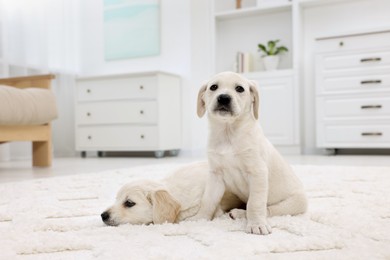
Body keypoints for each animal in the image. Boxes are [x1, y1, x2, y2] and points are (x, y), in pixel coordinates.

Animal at [190, 71, 310, 236]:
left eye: (240, 89)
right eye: (213, 87)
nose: (224, 97)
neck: (228, 133)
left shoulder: (258, 172)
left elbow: (255, 203)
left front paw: (257, 224)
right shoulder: (216, 175)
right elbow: (208, 200)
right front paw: (199, 219)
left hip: (297, 202)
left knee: (267, 209)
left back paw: (241, 213)